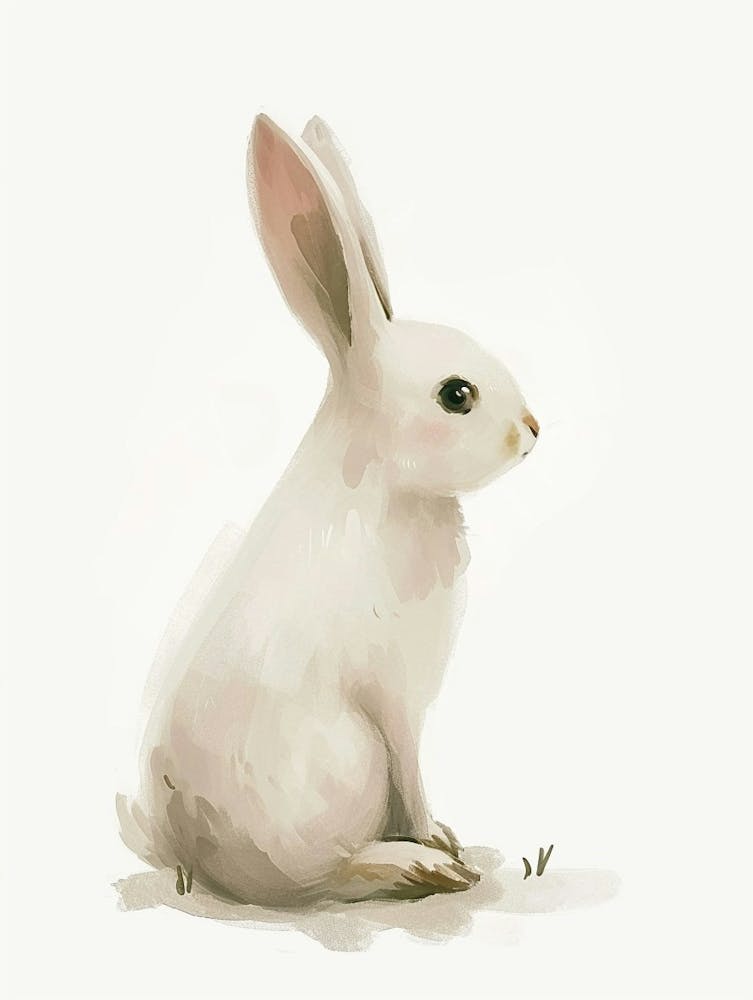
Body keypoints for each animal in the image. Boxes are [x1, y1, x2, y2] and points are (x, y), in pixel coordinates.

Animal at [117, 113, 539, 906]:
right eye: (456, 395)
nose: (533, 430)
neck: (384, 486)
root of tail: (201, 855)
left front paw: (440, 834)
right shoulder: (396, 702)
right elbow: (413, 775)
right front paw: (439, 839)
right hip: (343, 761)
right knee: (328, 875)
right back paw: (417, 868)